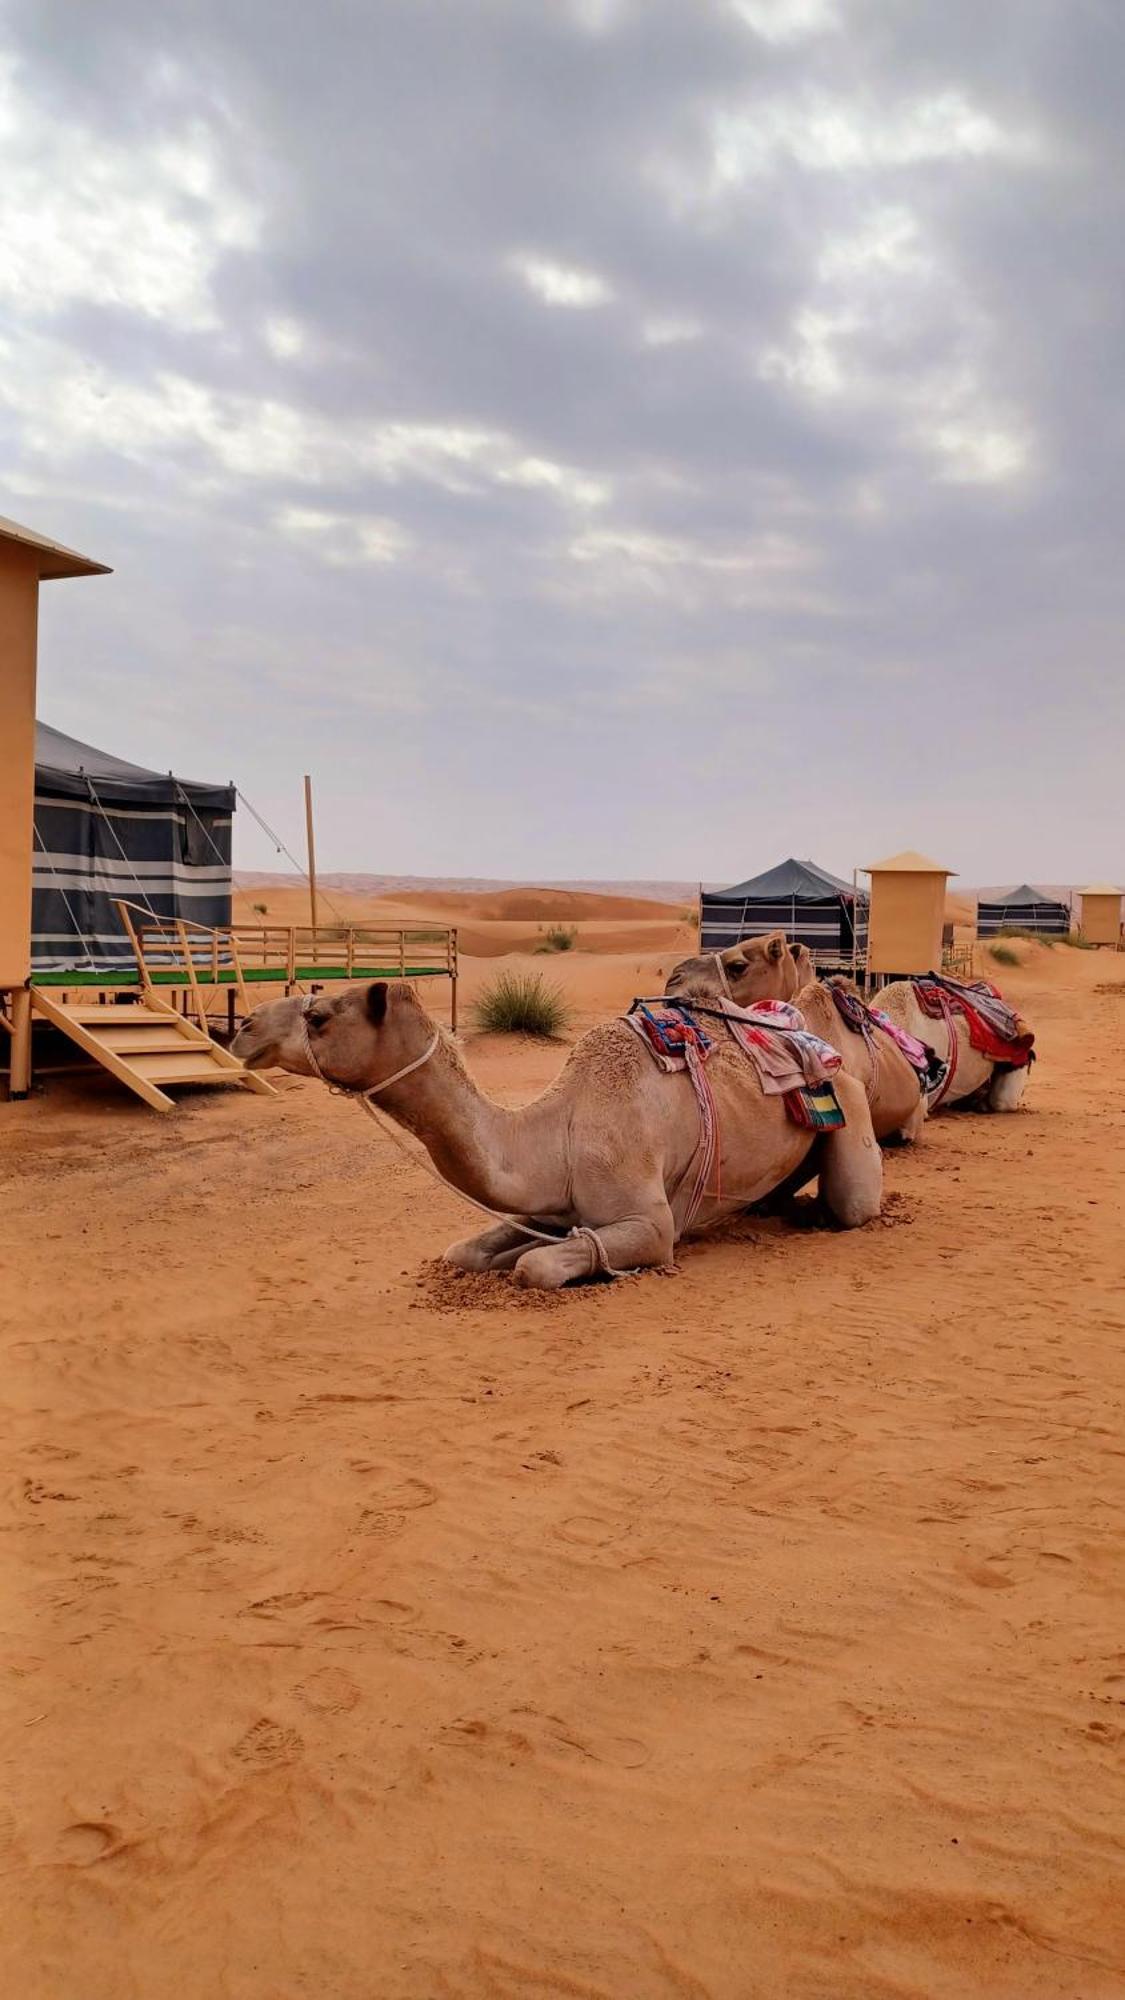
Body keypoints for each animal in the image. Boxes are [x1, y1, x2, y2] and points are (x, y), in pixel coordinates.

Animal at [232, 976, 880, 1288]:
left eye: (318, 1016)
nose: (243, 1027)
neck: (558, 1133)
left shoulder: (651, 1225)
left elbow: (537, 1267)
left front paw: (539, 1259)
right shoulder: (542, 1202)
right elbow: (468, 1252)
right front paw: (509, 1250)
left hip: (851, 1107)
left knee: (851, 1205)